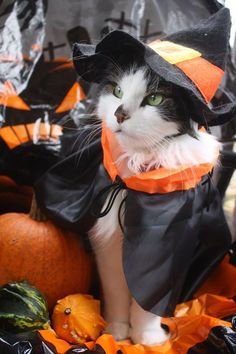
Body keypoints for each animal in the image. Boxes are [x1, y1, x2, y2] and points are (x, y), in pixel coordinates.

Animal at [88, 64, 219, 346]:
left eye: (155, 99)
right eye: (118, 91)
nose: (119, 114)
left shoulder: (166, 248)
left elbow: (147, 302)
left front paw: (148, 339)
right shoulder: (108, 244)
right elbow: (116, 294)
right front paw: (116, 333)